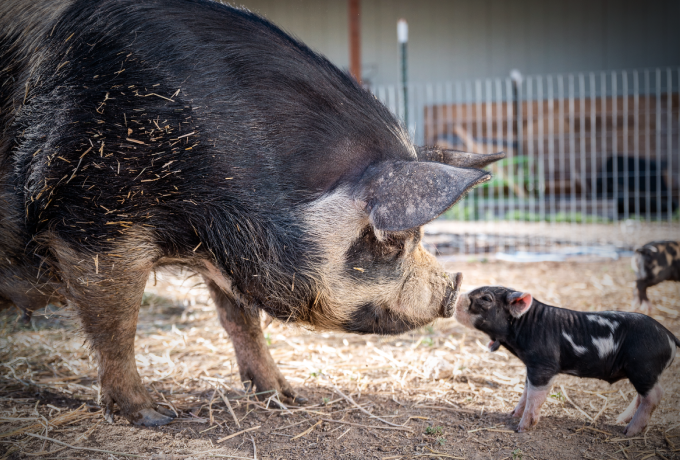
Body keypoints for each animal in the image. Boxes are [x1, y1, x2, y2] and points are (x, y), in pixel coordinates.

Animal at [1, 0, 504, 426]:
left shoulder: (233, 251)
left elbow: (242, 322)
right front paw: (156, 416)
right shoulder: (90, 217)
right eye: (393, 239)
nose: (452, 291)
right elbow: (116, 324)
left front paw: (287, 396)